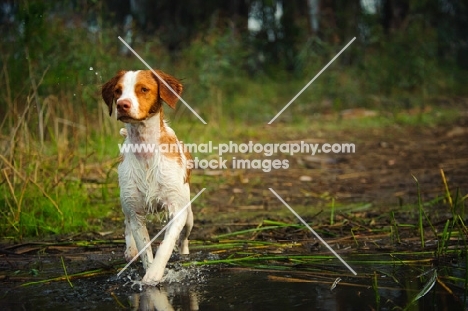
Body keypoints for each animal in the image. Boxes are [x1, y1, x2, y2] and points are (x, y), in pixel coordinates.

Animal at [102, 69, 194, 286]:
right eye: (117, 91)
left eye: (143, 89)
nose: (122, 104)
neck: (146, 151)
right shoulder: (135, 211)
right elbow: (144, 247)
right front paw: (147, 271)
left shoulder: (177, 210)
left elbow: (166, 245)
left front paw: (154, 274)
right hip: (126, 204)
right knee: (127, 225)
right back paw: (130, 249)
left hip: (189, 216)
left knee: (184, 238)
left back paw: (184, 253)